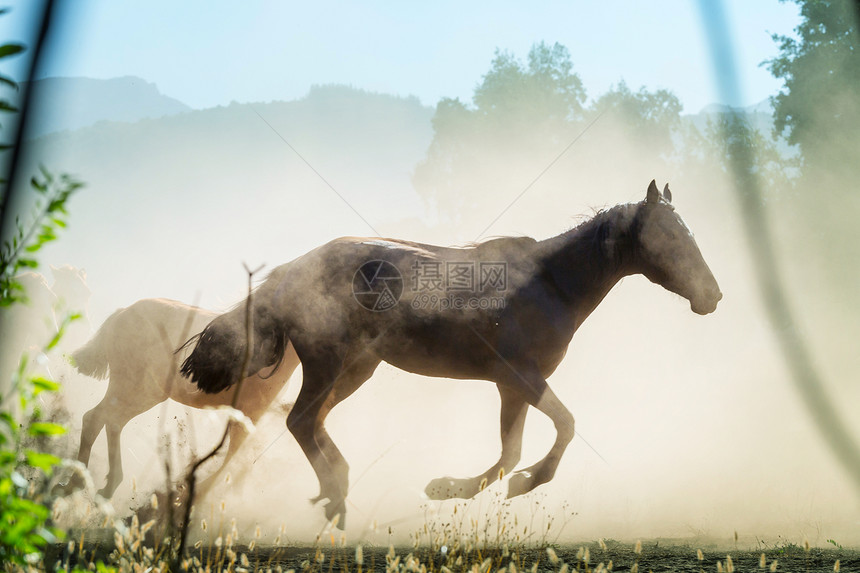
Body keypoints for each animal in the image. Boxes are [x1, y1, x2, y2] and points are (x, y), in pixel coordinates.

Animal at [74, 298, 302, 498]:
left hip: (138, 392)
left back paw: (99, 484)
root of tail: (123, 312)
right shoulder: (250, 413)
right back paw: (80, 482)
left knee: (108, 421)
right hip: (136, 389)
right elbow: (232, 455)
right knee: (98, 418)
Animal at [180, 181, 720, 524]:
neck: (550, 283)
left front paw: (452, 487)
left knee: (311, 421)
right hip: (328, 363)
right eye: (670, 237)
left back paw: (339, 487)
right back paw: (336, 494)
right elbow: (563, 427)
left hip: (357, 369)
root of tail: (293, 270)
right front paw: (523, 482)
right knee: (300, 421)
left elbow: (510, 451)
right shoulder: (521, 377)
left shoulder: (512, 387)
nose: (713, 296)